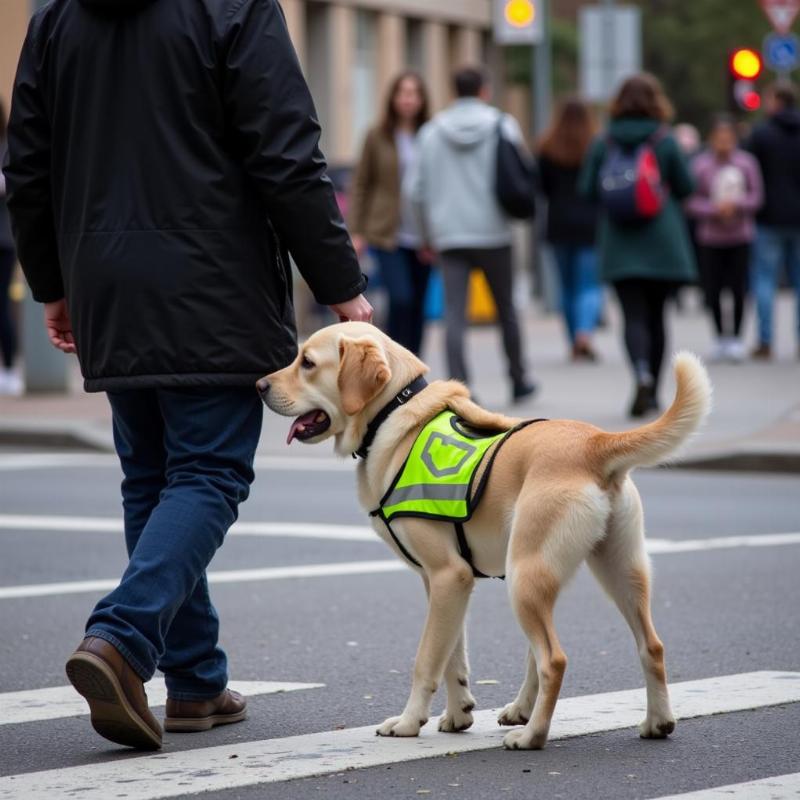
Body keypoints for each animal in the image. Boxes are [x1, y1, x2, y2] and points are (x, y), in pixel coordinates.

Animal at [258, 322, 712, 752]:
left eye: (307, 362)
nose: (259, 385)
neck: (393, 415)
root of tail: (596, 442)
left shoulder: (447, 576)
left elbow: (426, 661)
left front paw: (408, 722)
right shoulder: (445, 583)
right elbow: (452, 657)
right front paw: (458, 715)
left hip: (526, 577)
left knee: (553, 660)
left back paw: (532, 736)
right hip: (617, 572)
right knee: (650, 646)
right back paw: (654, 722)